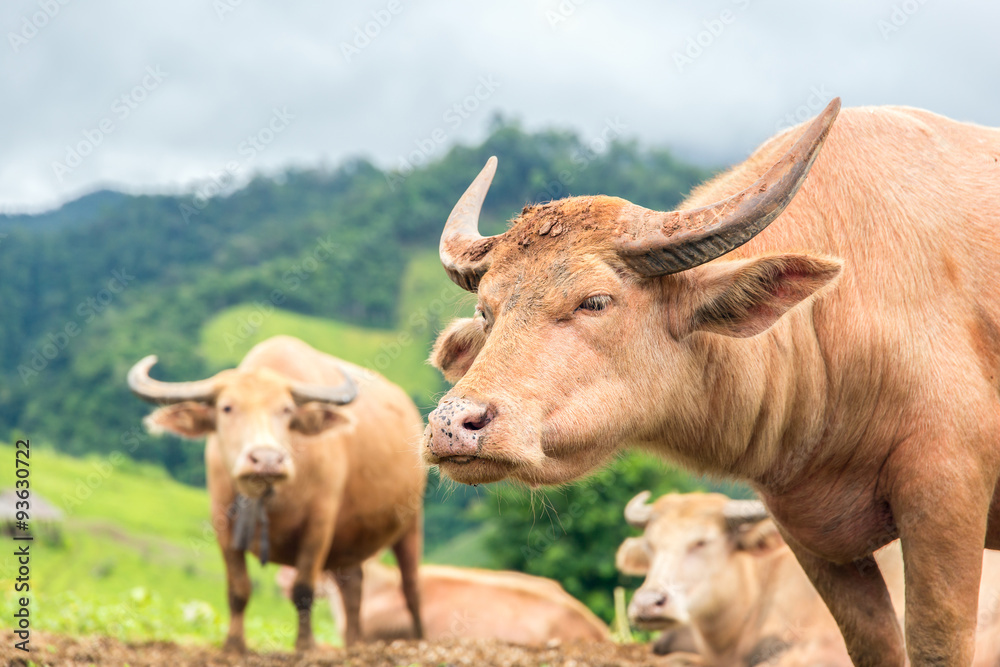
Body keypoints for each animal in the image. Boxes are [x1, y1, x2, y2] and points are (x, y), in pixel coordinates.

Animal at [127, 336, 424, 648]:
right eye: (227, 408)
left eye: (286, 410)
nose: (267, 459)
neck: (272, 497)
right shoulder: (223, 524)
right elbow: (238, 589)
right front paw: (234, 644)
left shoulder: (319, 524)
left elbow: (303, 589)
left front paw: (305, 645)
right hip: (350, 541)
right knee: (353, 588)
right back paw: (353, 645)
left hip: (411, 521)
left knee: (411, 588)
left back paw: (418, 638)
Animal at [426, 100, 1000, 667]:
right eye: (486, 312)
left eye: (595, 301)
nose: (452, 425)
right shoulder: (807, 535)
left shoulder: (945, 502)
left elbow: (936, 645)